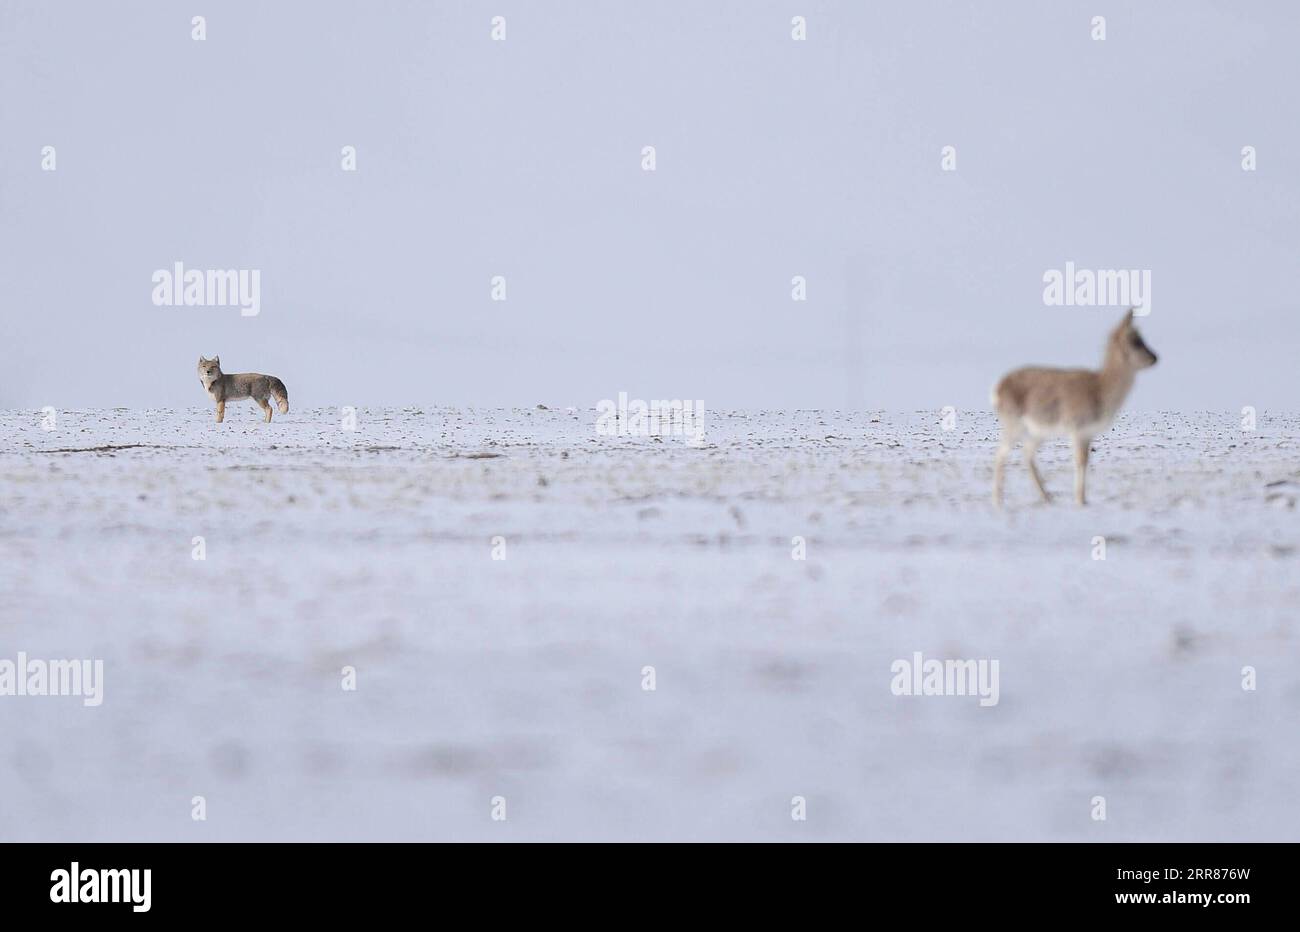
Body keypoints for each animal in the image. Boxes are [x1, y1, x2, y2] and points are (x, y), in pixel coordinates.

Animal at [987, 309, 1164, 504]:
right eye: (1135, 341)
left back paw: (1047, 497)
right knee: (1001, 454)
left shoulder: (1087, 433)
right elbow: (1079, 461)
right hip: (1015, 427)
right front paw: (1080, 500)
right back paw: (998, 501)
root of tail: (999, 386)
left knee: (1026, 454)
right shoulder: (1077, 430)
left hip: (1038, 432)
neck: (1100, 388)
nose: (1155, 358)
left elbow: (1085, 461)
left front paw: (1083, 499)